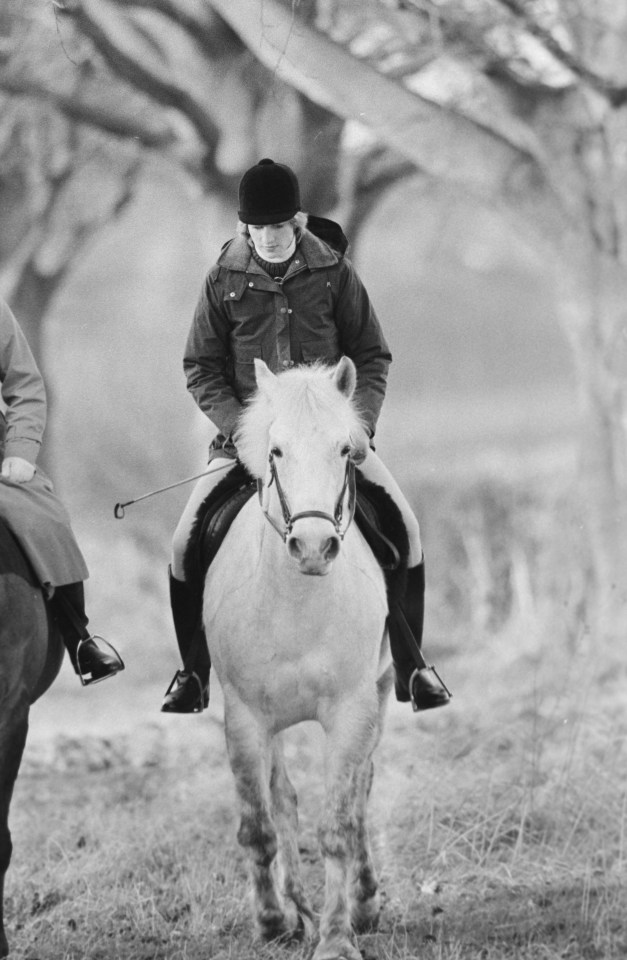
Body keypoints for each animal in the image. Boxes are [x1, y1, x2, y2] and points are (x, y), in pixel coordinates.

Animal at [205, 356, 392, 956]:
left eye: (345, 450)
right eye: (276, 451)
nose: (313, 548)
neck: (296, 601)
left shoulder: (352, 712)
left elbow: (337, 826)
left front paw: (335, 937)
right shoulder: (244, 718)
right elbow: (259, 825)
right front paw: (273, 921)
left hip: (382, 692)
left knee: (361, 792)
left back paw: (362, 902)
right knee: (282, 798)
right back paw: (298, 907)